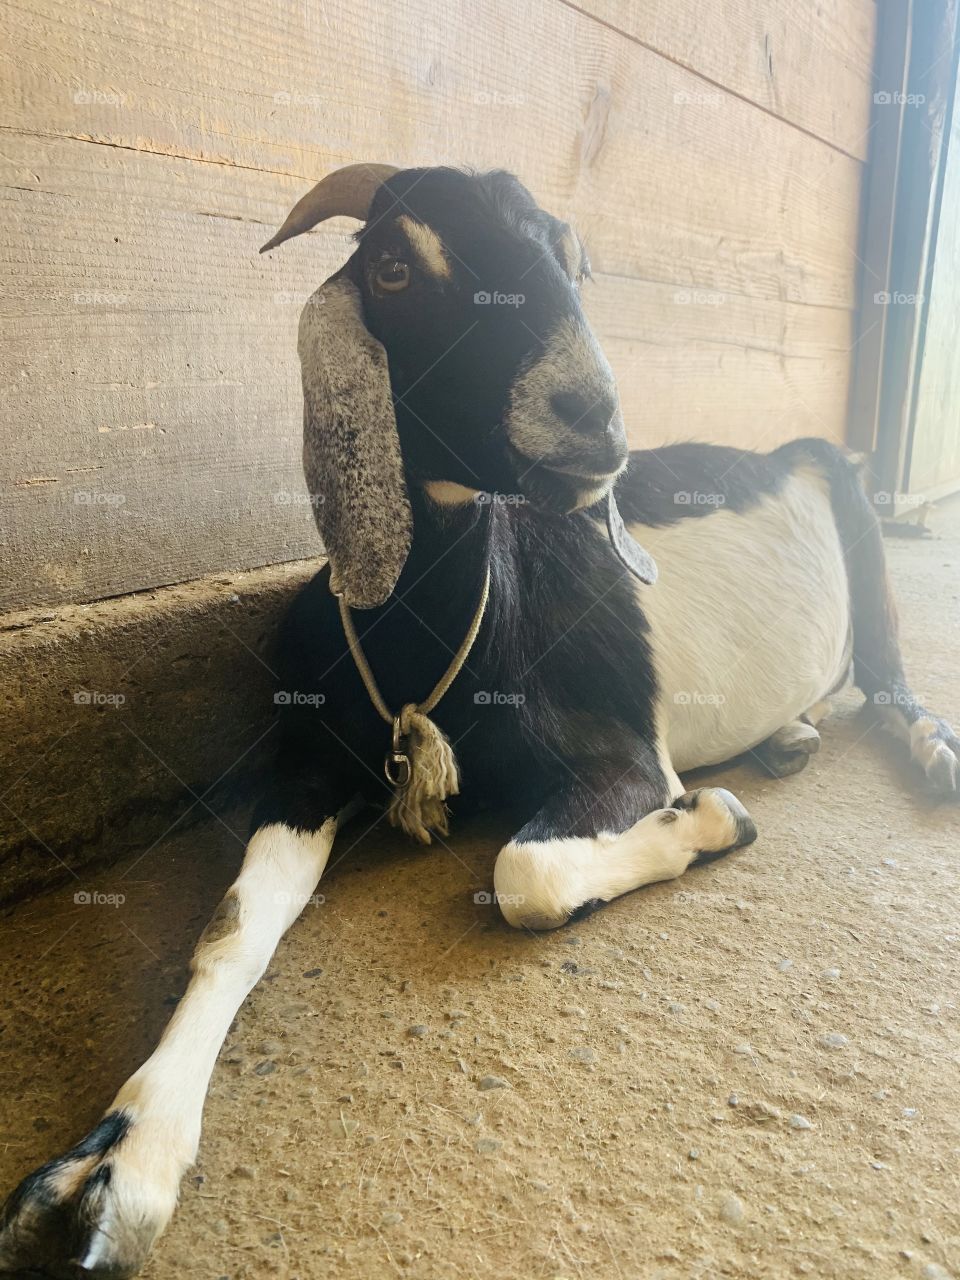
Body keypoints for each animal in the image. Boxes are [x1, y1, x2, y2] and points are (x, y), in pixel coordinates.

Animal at [1, 163, 957, 1278]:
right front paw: (117, 1164)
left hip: (856, 513)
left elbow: (526, 873)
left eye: (572, 259)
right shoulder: (308, 767)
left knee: (889, 674)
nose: (593, 419)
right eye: (395, 265)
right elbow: (232, 923)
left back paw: (926, 748)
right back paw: (790, 734)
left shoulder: (624, 756)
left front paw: (713, 818)